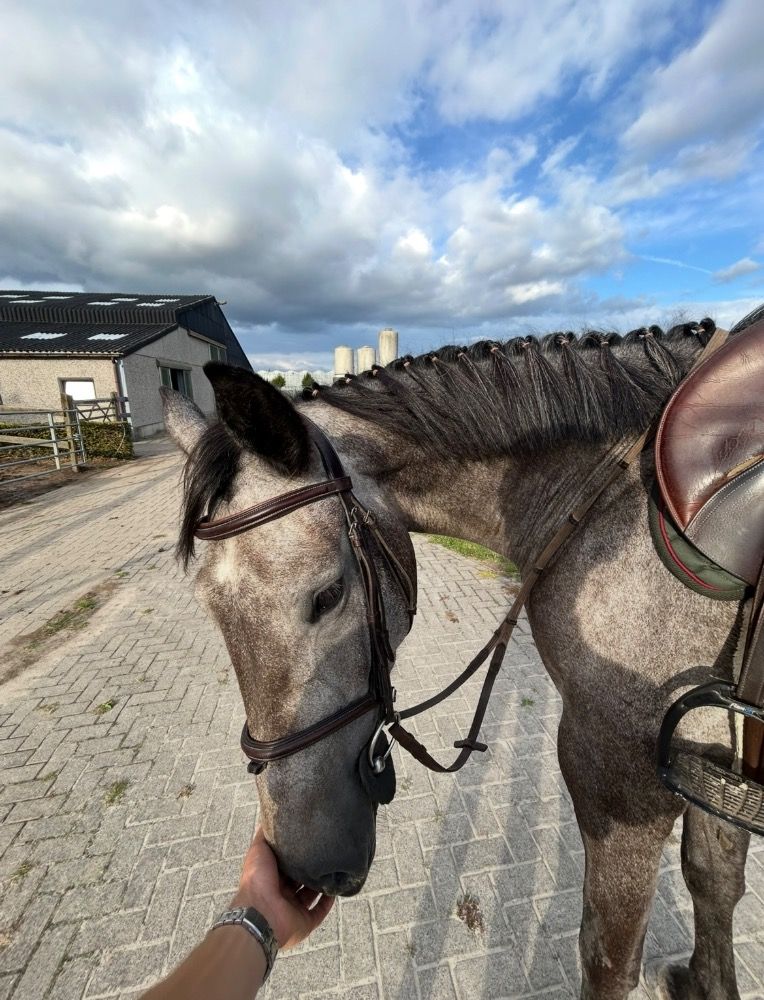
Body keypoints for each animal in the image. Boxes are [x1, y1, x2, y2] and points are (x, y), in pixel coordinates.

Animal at [162, 314, 760, 1000]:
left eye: (328, 595)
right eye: (210, 607)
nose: (303, 867)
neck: (621, 506)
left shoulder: (622, 777)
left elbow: (608, 955)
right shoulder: (715, 748)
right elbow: (714, 876)